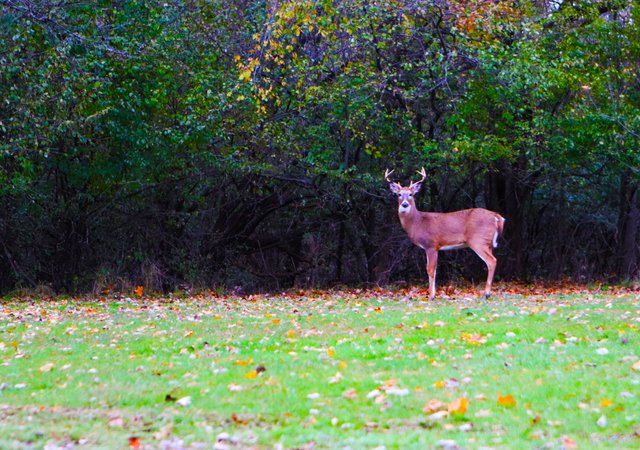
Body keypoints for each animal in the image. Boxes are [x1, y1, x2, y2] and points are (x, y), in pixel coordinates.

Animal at [384, 168, 504, 298]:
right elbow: (433, 269)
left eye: (411, 194)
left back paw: (486, 294)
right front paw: (432, 293)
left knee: (492, 261)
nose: (405, 204)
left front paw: (431, 295)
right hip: (488, 243)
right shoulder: (433, 247)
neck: (418, 222)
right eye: (399, 194)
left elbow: (430, 269)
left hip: (478, 240)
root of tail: (497, 217)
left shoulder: (431, 244)